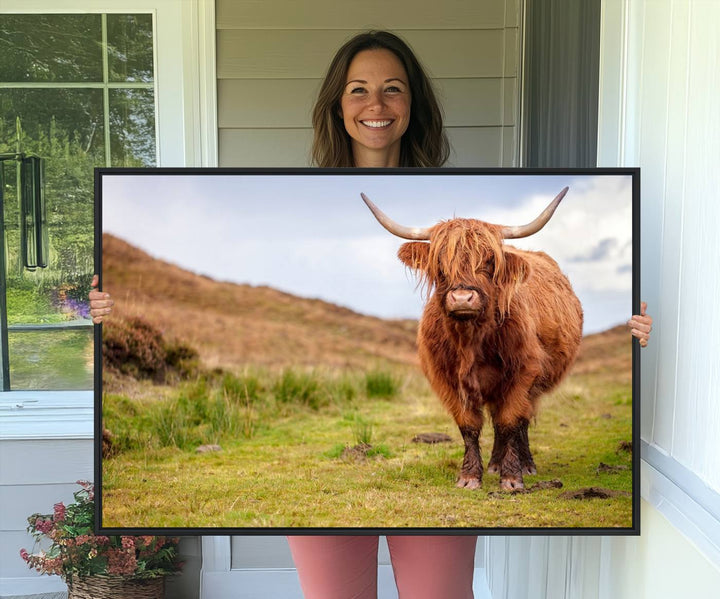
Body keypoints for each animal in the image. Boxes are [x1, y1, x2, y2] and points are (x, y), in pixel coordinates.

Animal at [362, 189, 584, 492]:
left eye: (489, 261)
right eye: (440, 262)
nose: (462, 298)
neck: (471, 340)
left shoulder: (523, 373)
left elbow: (510, 421)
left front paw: (512, 478)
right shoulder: (448, 379)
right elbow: (469, 425)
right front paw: (469, 476)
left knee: (521, 421)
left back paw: (525, 464)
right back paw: (494, 464)